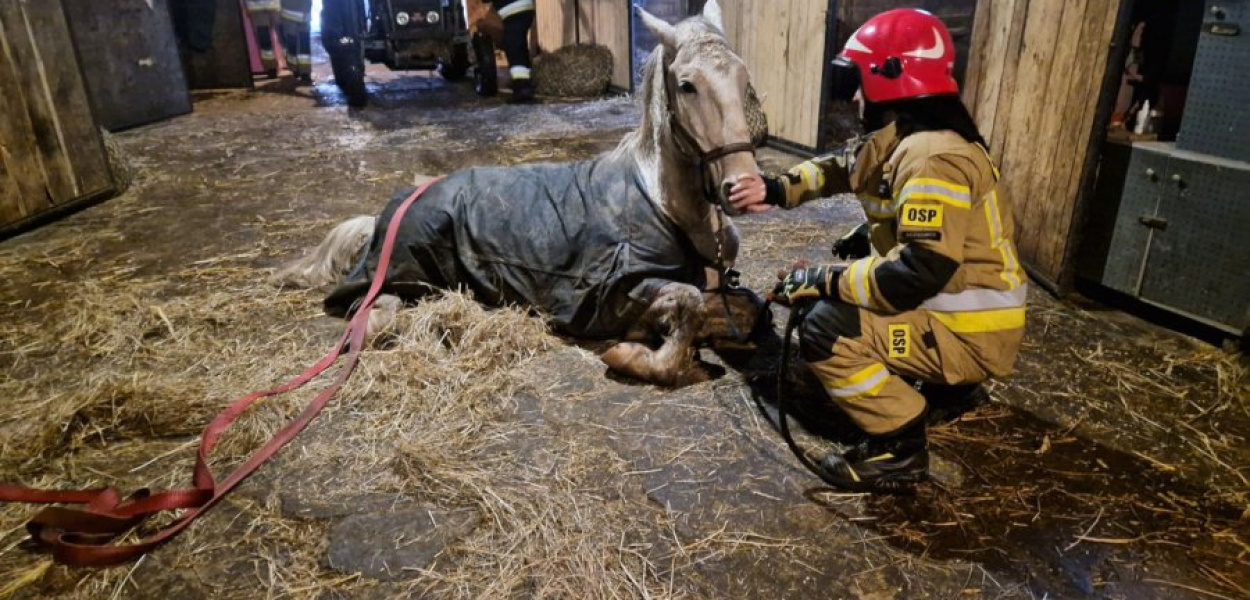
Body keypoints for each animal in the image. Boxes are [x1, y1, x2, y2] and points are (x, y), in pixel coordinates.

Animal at [273, 1, 760, 385]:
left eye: (742, 76)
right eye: (687, 85)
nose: (744, 187)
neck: (661, 202)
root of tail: (384, 216)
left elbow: (738, 308)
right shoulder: (613, 292)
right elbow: (688, 304)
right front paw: (630, 351)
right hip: (401, 272)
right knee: (372, 315)